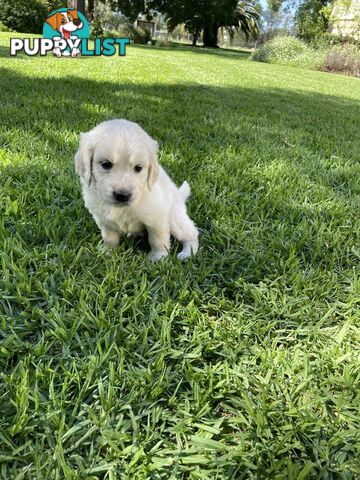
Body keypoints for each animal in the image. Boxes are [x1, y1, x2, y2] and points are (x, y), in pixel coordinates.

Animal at [75, 120, 200, 262]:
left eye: (138, 168)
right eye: (106, 164)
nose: (122, 195)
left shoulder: (158, 217)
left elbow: (158, 239)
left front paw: (158, 257)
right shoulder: (104, 220)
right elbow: (109, 237)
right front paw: (108, 252)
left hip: (175, 218)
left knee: (192, 233)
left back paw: (187, 252)